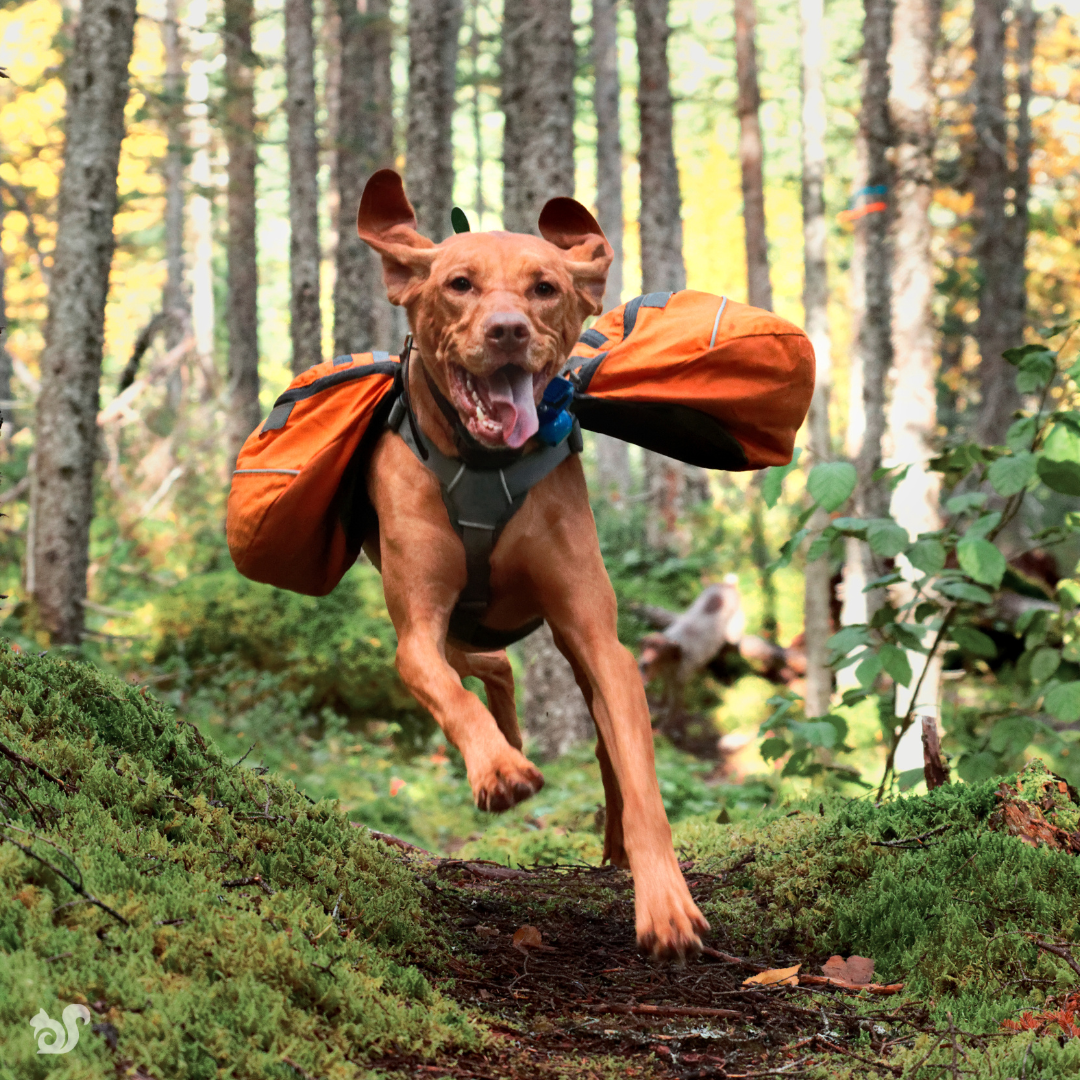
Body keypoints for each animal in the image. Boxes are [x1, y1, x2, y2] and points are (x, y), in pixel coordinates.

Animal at [354, 170, 708, 963]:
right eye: (458, 283)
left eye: (545, 288)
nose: (508, 330)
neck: (486, 462)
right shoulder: (416, 631)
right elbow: (443, 690)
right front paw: (498, 771)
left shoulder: (597, 637)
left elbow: (641, 777)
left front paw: (665, 902)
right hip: (450, 624)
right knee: (486, 667)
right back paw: (507, 744)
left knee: (591, 733)